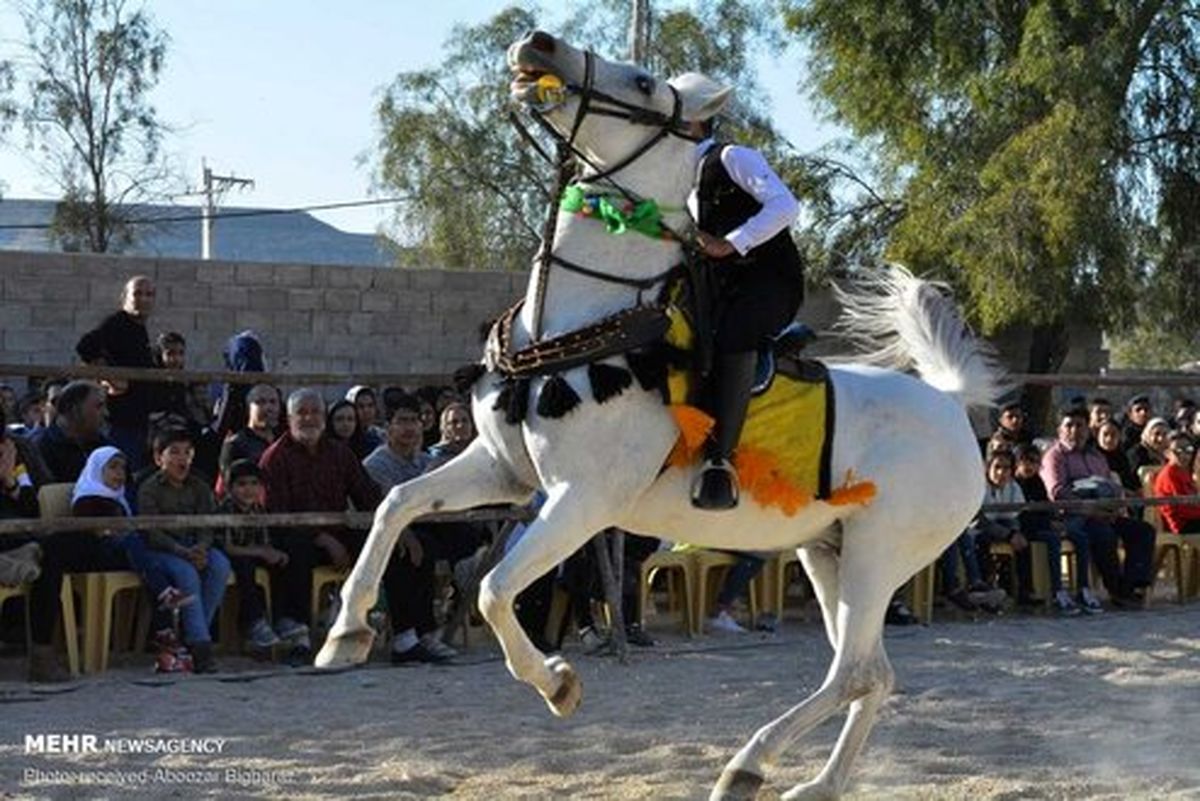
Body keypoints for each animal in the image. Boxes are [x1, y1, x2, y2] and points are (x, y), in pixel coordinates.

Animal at [316, 31, 1003, 801]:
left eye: (643, 81)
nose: (537, 43)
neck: (577, 326)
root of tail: (949, 405)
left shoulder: (582, 500)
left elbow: (493, 592)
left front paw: (558, 683)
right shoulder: (503, 471)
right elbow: (397, 505)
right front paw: (345, 635)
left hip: (880, 553)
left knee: (855, 670)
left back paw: (748, 765)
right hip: (828, 548)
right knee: (869, 674)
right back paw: (812, 782)